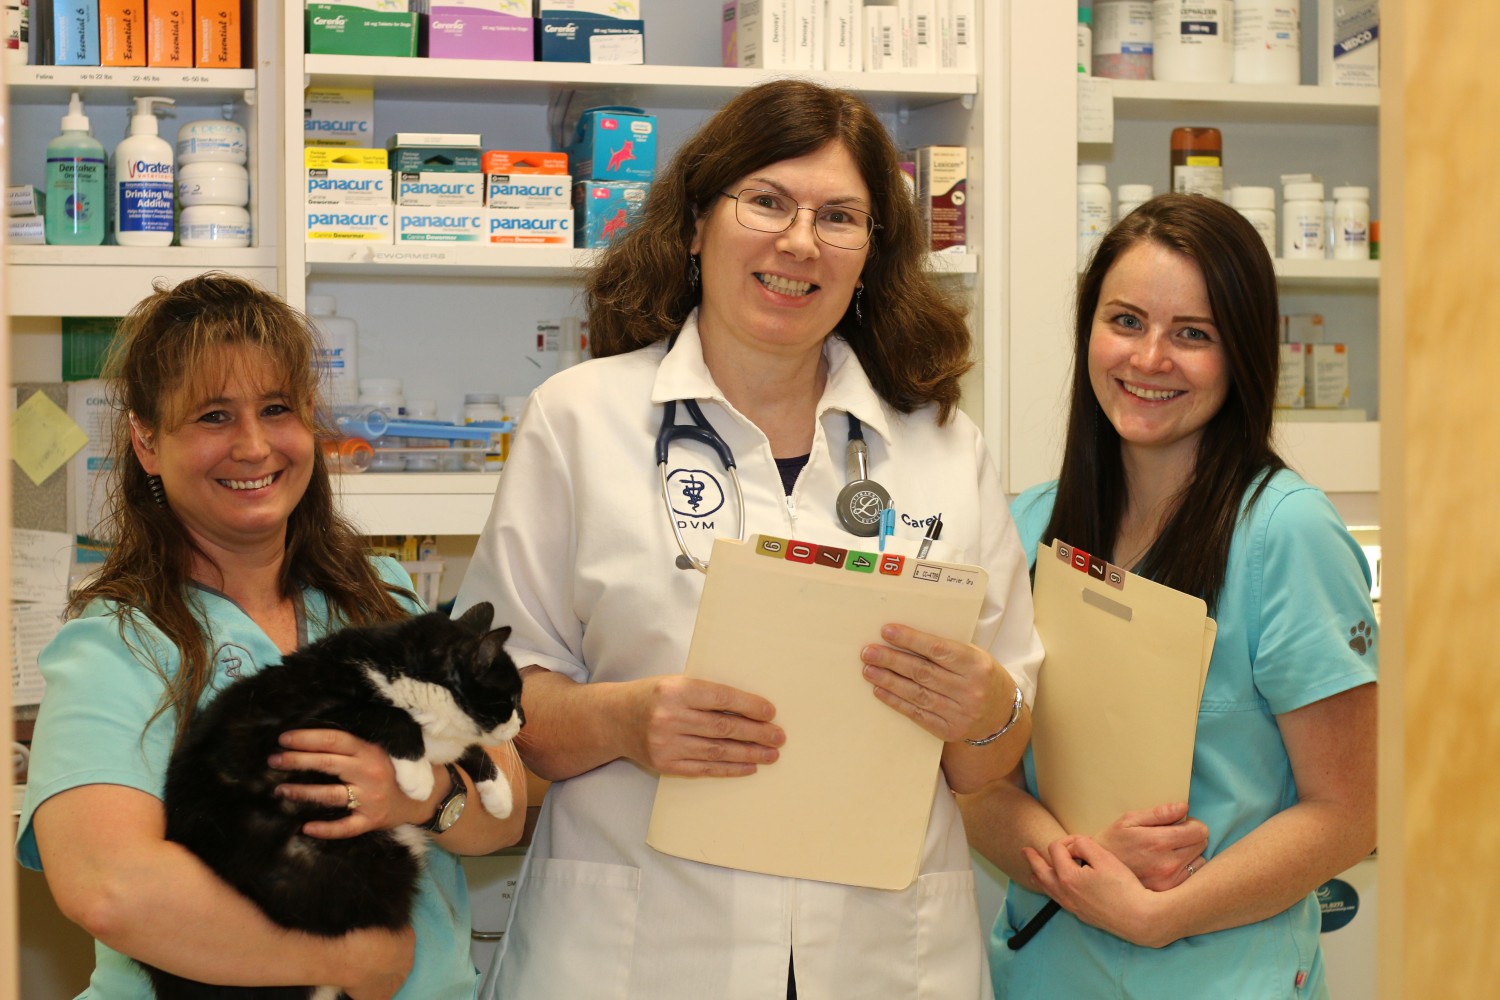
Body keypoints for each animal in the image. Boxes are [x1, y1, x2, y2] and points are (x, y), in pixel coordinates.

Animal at [141, 599, 528, 995]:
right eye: (511, 698)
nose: (522, 721)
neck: (406, 674)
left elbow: (467, 748)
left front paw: (499, 794)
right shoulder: (308, 718)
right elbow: (387, 715)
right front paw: (416, 775)